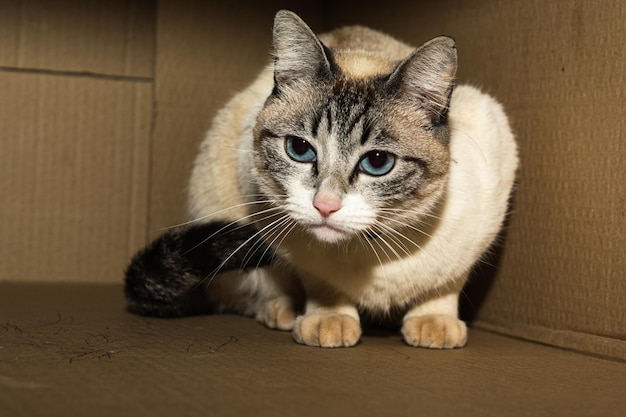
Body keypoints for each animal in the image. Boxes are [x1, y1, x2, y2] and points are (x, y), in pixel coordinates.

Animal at [128, 9, 516, 348]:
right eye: (299, 149)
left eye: (378, 162)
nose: (325, 206)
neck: (371, 253)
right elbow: (321, 283)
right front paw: (329, 319)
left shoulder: (486, 207)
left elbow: (446, 284)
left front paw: (434, 323)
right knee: (243, 293)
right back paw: (281, 311)